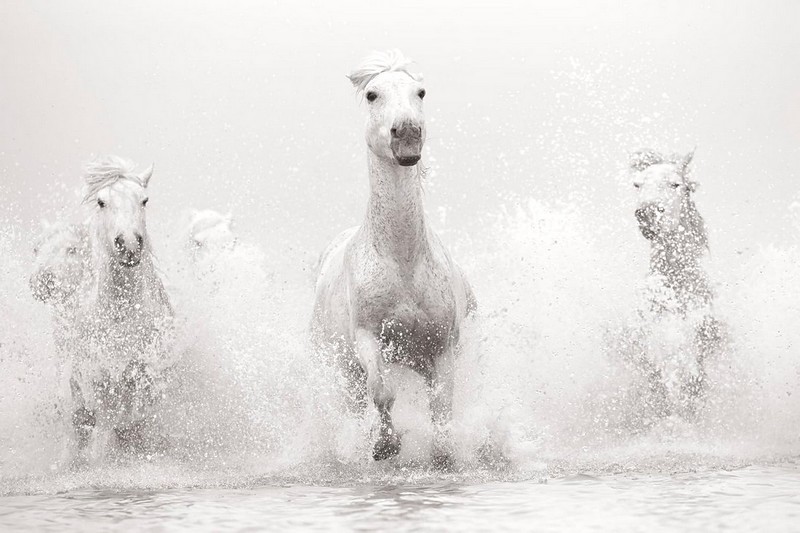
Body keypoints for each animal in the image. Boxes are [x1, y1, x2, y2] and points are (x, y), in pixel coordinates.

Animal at [69, 156, 174, 457]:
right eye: (101, 202)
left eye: (144, 200)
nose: (128, 244)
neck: (121, 314)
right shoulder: (98, 380)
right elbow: (104, 433)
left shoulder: (145, 376)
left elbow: (136, 423)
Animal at [311, 50, 476, 466]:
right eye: (372, 94)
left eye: (421, 92)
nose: (407, 134)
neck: (402, 261)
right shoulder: (367, 337)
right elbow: (382, 391)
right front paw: (385, 445)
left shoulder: (441, 349)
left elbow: (442, 409)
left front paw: (442, 456)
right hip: (342, 370)